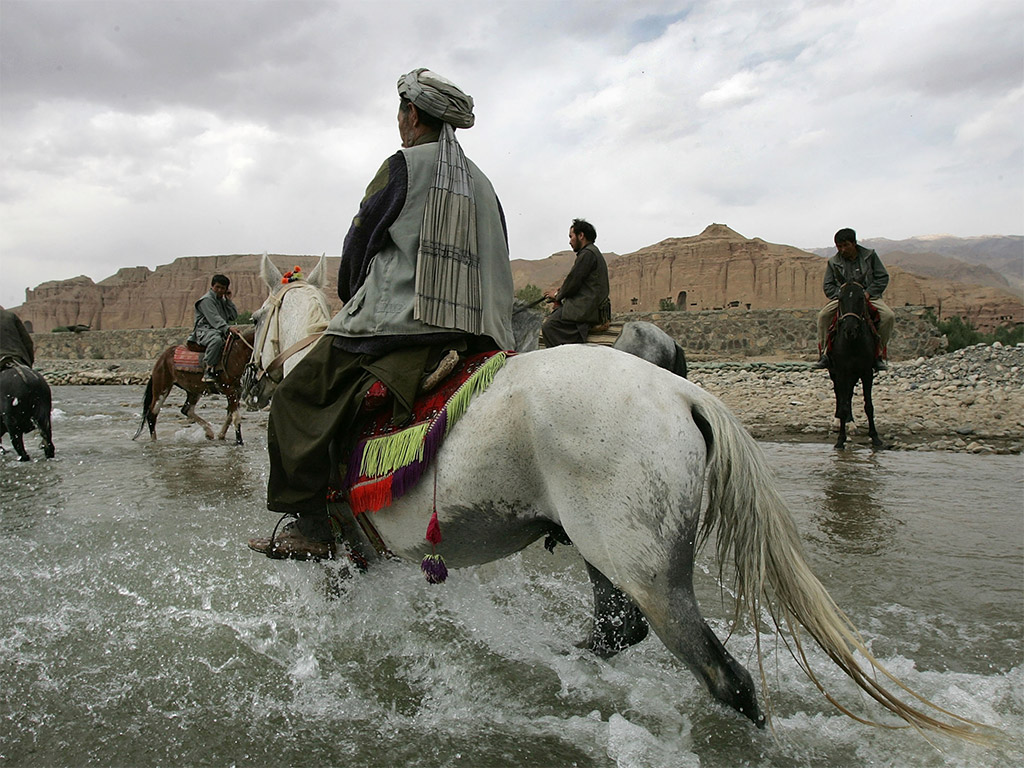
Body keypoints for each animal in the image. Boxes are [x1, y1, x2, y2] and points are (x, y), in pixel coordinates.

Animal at [827, 282, 884, 450]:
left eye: (861, 298)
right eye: (840, 298)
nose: (850, 329)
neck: (852, 343)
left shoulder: (866, 372)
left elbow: (868, 405)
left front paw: (875, 437)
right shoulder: (841, 372)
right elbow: (843, 403)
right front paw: (840, 439)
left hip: (854, 375)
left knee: (849, 395)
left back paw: (851, 424)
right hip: (836, 373)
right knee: (840, 396)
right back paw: (838, 421)